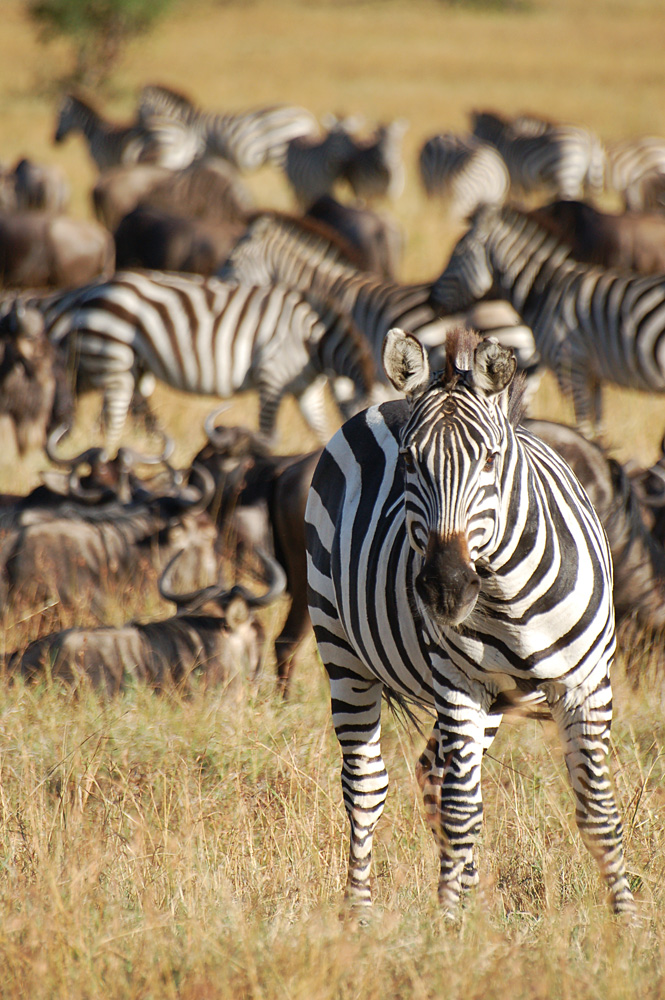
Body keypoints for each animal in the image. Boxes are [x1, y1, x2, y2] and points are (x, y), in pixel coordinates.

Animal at [33, 268, 376, 452]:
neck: (314, 340)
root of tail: (91, 290)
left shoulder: (306, 389)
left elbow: (320, 430)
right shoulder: (272, 376)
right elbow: (268, 434)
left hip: (122, 364)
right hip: (113, 357)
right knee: (111, 420)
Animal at [138, 86, 320, 174]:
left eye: (139, 111)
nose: (139, 132)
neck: (184, 121)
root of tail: (305, 116)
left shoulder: (193, 154)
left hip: (279, 151)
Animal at [304, 326, 632, 916]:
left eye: (491, 460)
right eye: (409, 462)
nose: (446, 587)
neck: (508, 596)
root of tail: (385, 401)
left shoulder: (588, 686)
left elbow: (598, 813)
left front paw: (628, 924)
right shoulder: (458, 685)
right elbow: (461, 815)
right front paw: (450, 925)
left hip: (492, 700)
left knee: (436, 774)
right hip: (340, 649)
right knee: (368, 786)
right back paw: (358, 914)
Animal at [428, 204, 664, 438]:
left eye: (457, 253)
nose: (431, 299)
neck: (545, 293)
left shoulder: (571, 365)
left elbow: (583, 426)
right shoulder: (593, 374)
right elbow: (598, 427)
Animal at [470, 109, 604, 201]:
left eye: (474, 131)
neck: (501, 141)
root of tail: (589, 139)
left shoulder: (513, 181)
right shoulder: (523, 183)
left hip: (567, 175)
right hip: (594, 177)